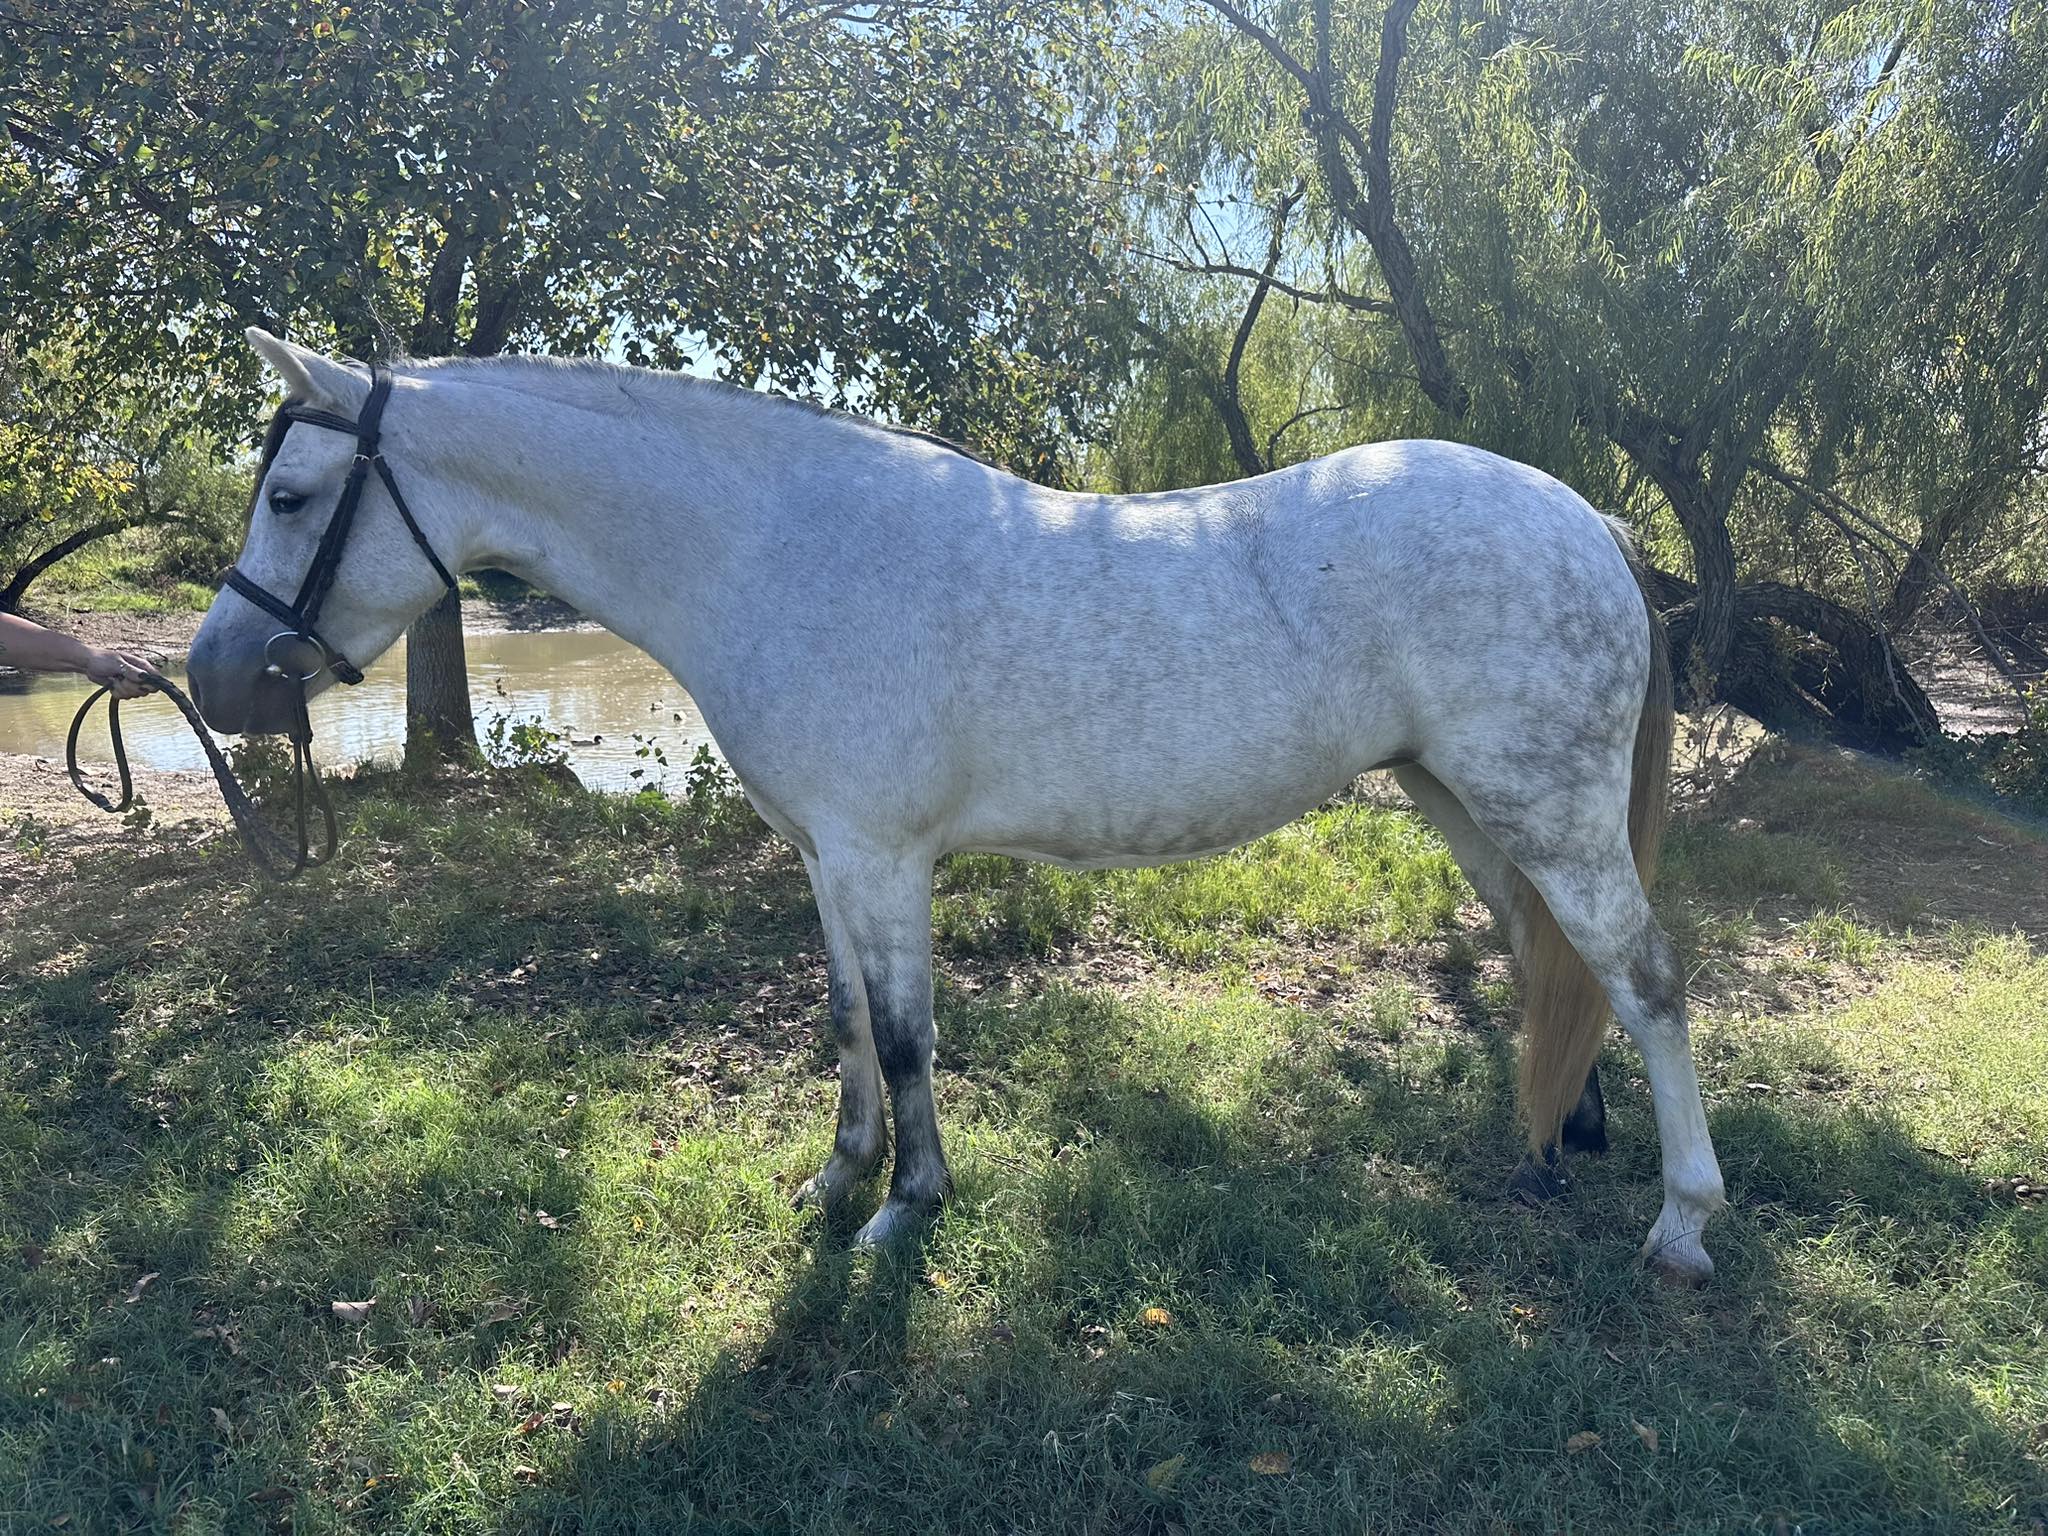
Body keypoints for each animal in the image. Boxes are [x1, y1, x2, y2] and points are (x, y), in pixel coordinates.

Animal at [189, 328, 1727, 1282]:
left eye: (292, 492)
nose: (213, 679)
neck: (779, 550)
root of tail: (1588, 520)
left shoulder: (885, 859)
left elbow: (908, 1034)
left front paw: (905, 1211)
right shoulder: (825, 856)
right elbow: (844, 1025)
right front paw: (840, 1179)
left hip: (1544, 806)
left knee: (1642, 977)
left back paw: (1681, 1222)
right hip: (1462, 798)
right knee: (1547, 958)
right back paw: (1551, 1148)